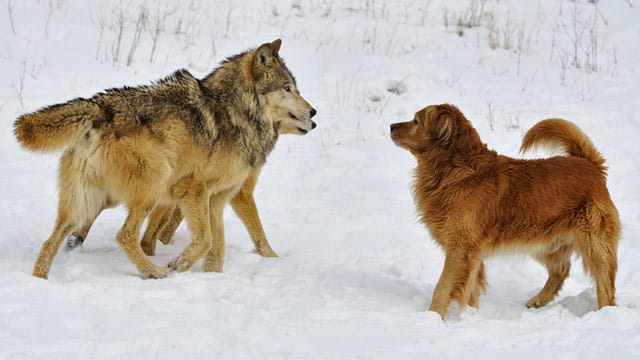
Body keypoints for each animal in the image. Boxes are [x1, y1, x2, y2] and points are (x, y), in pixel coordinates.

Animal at [13, 40, 316, 282]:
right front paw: (177, 265)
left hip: (87, 202)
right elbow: (206, 240)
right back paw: (155, 272)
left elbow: (216, 248)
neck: (235, 112)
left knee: (51, 242)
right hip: (153, 185)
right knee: (125, 235)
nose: (314, 113)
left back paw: (40, 282)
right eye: (288, 88)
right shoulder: (193, 190)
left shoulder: (218, 199)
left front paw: (211, 277)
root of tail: (99, 107)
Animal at [390, 103, 620, 318]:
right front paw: (470, 314)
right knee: (561, 270)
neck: (458, 169)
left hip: (594, 245)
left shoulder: (460, 249)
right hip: (543, 242)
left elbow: (443, 287)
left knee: (605, 286)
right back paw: (538, 300)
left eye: (416, 121)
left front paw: (433, 316)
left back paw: (605, 313)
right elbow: (471, 287)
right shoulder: (473, 254)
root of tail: (590, 164)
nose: (391, 126)